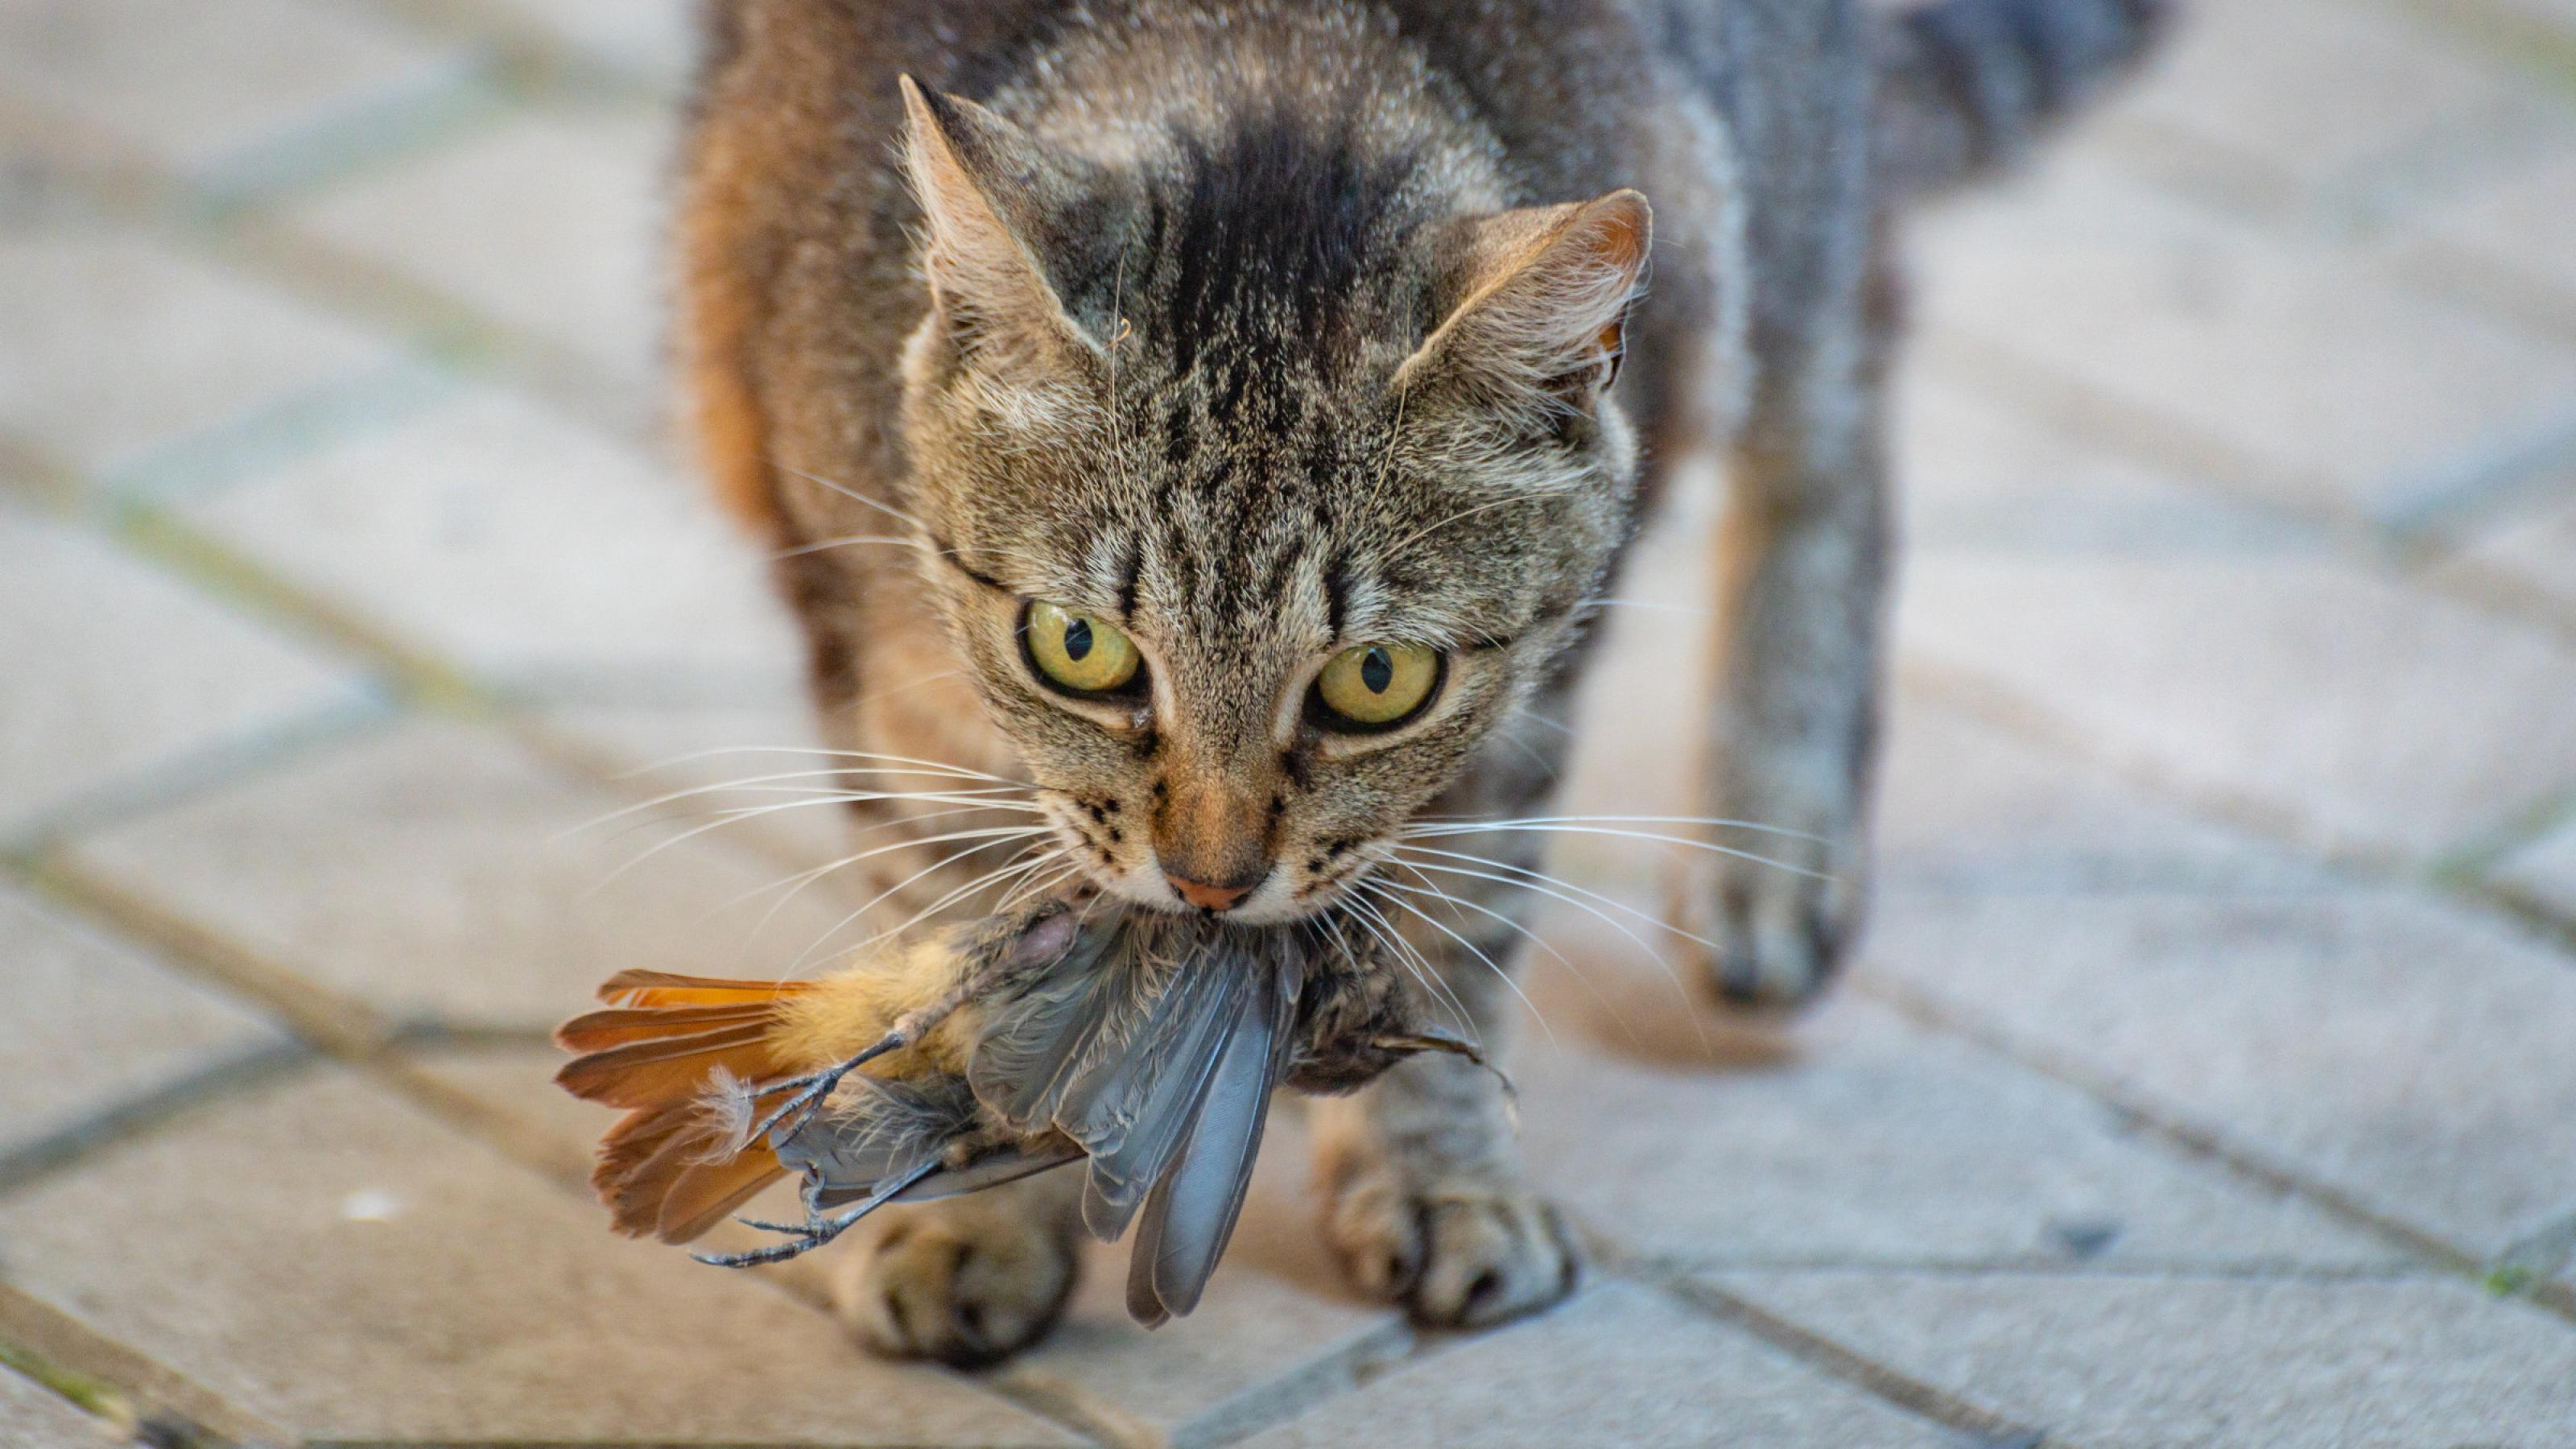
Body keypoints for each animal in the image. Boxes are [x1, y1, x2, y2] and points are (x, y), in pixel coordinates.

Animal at [675, 0, 2164, 1361]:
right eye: (1078, 647)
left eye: (1376, 680)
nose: (1209, 883)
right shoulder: (885, 669)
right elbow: (970, 928)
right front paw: (976, 1209)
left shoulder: (1519, 710)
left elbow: (1448, 936)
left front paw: (1441, 1181)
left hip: (1783, 178)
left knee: (1844, 366)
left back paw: (1778, 858)